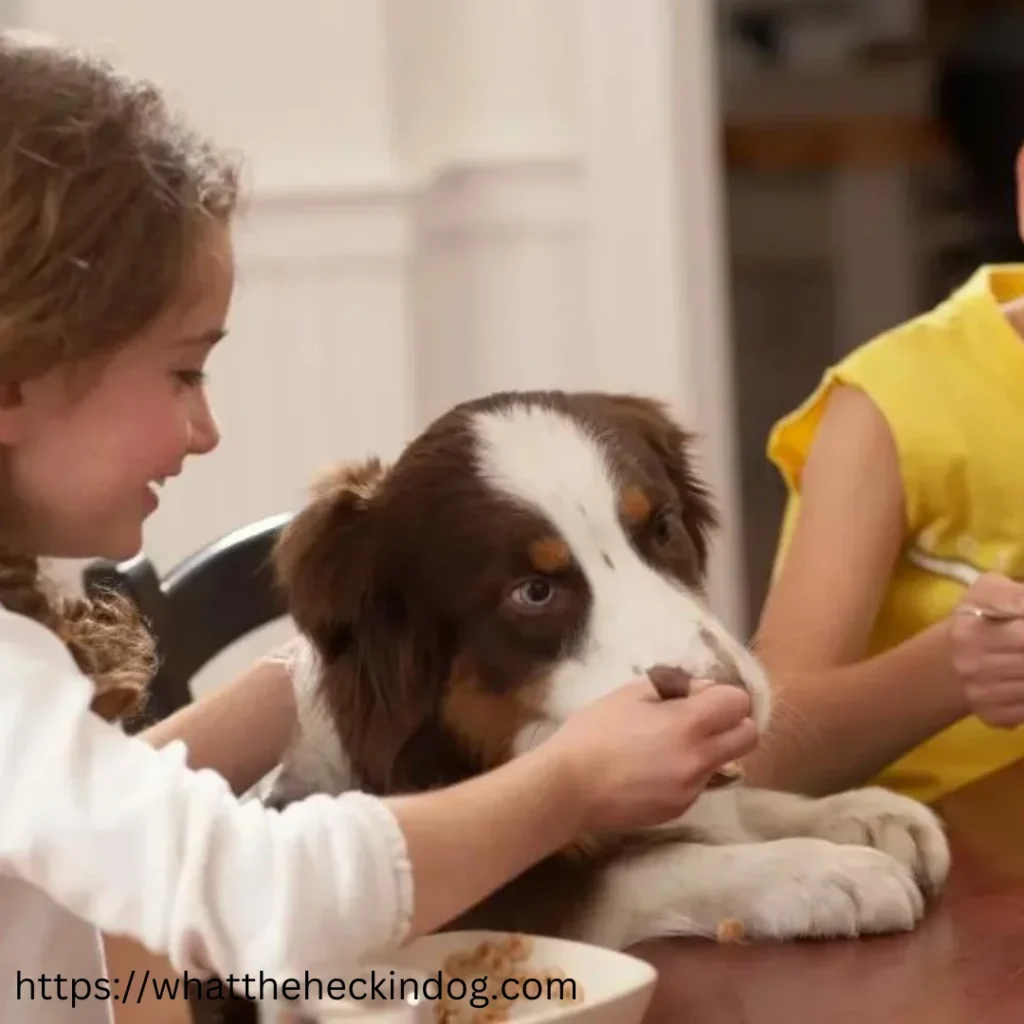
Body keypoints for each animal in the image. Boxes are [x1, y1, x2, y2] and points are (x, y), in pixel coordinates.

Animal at [266, 389, 950, 950]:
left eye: (664, 527)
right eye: (533, 592)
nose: (734, 699)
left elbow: (741, 805)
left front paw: (864, 814)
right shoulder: (482, 898)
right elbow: (655, 863)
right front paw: (822, 870)